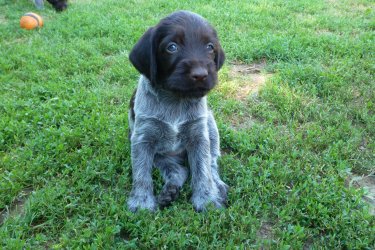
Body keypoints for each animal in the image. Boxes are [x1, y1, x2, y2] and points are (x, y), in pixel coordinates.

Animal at [128, 10, 229, 212]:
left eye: (210, 47)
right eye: (171, 47)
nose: (200, 75)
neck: (175, 99)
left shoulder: (199, 137)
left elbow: (203, 170)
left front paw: (206, 199)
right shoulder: (142, 139)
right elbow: (141, 174)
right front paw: (142, 202)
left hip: (210, 126)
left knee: (212, 163)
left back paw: (217, 186)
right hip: (160, 156)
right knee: (179, 170)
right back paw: (170, 190)